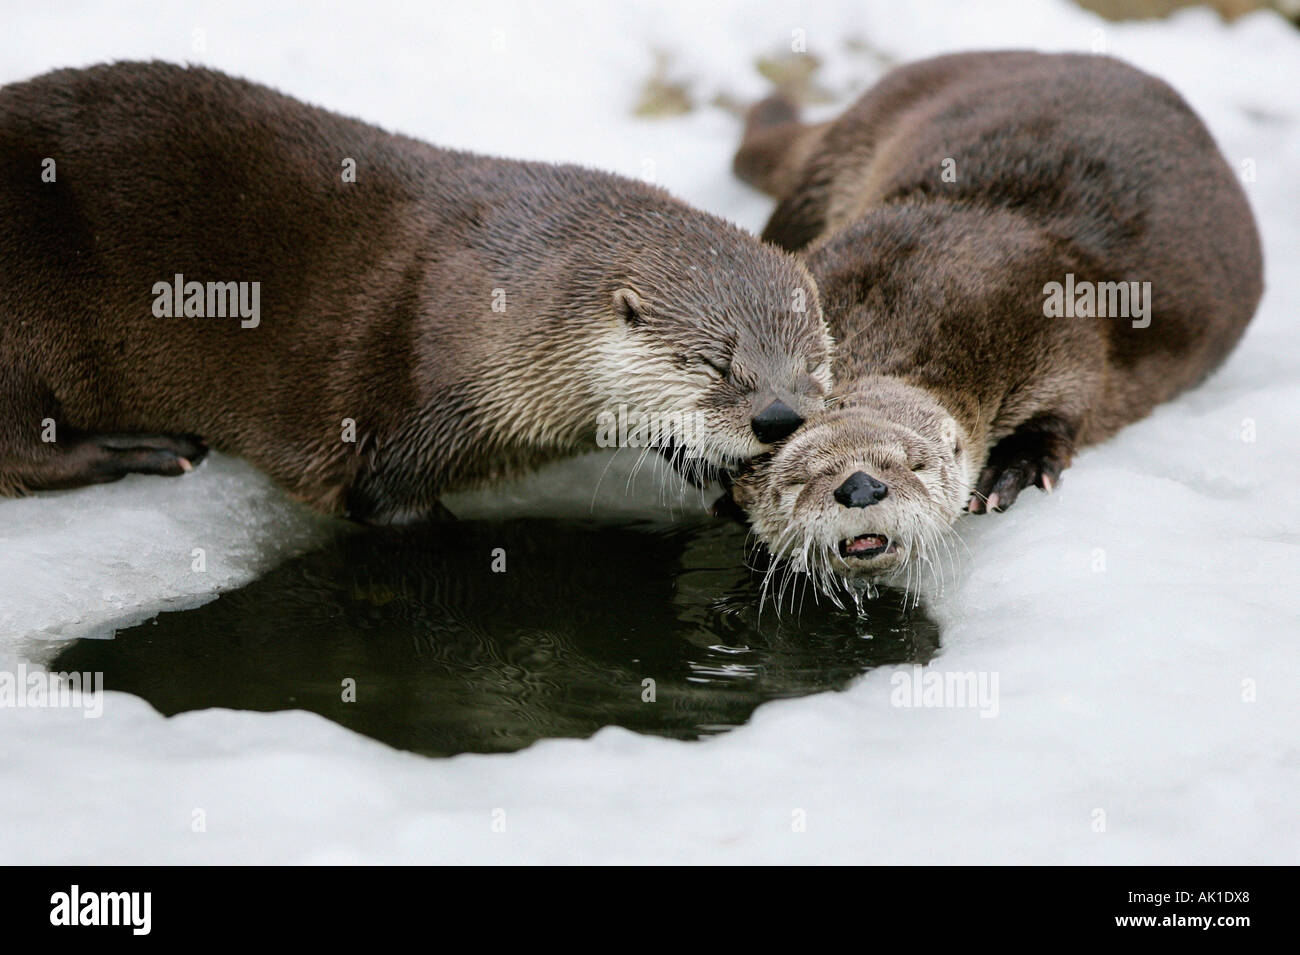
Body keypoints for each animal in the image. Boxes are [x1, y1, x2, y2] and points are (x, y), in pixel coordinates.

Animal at [0, 61, 831, 522]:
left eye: (813, 364)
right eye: (713, 362)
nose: (778, 417)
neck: (500, 313)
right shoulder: (404, 410)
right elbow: (383, 502)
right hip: (23, 311)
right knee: (22, 448)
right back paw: (145, 448)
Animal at [727, 51, 1262, 597]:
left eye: (914, 464)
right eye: (801, 476)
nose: (859, 486)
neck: (903, 296)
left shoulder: (1057, 327)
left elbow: (1070, 409)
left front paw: (1013, 468)